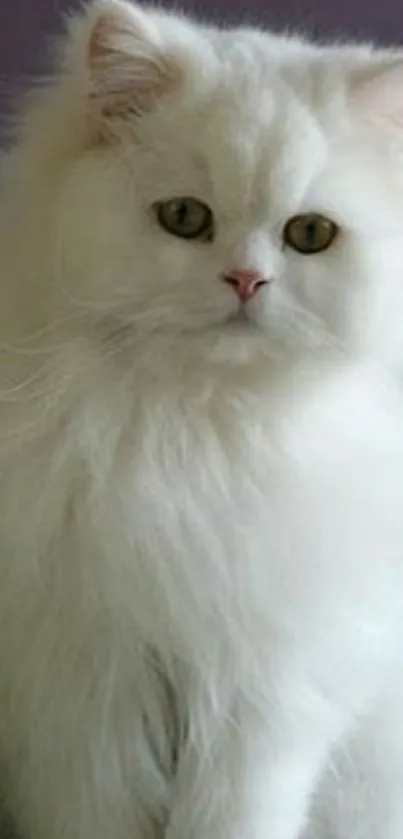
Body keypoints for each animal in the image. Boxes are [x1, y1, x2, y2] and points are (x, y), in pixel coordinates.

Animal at [0, 1, 403, 839]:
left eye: (308, 234)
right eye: (184, 218)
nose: (244, 280)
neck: (190, 433)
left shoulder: (262, 699)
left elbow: (235, 817)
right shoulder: (82, 701)